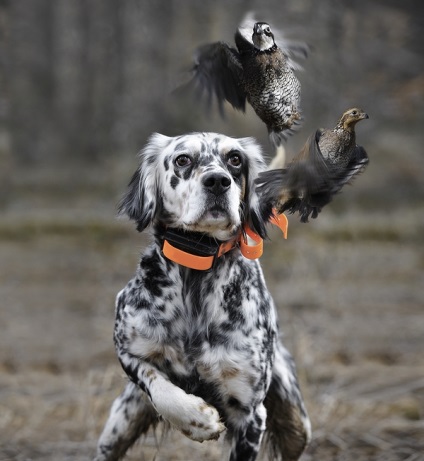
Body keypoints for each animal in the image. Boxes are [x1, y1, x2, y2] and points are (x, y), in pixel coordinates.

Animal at [94, 131, 310, 458]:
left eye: (235, 159)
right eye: (183, 159)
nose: (218, 181)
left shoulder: (250, 413)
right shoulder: (127, 346)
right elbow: (155, 382)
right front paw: (196, 418)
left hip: (297, 424)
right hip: (118, 427)